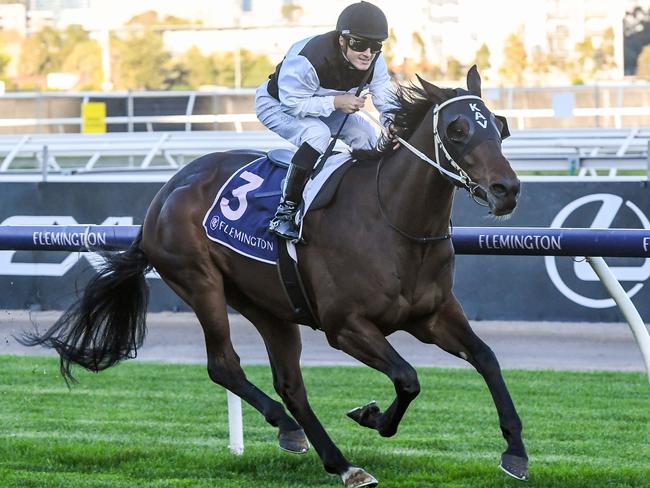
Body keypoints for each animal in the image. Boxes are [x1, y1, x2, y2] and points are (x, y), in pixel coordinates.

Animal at [20, 66, 528, 488]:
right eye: (457, 130)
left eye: (499, 126)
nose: (506, 190)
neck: (393, 221)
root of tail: (164, 195)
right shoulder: (346, 327)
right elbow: (407, 378)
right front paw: (372, 416)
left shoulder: (433, 315)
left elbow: (486, 359)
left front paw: (516, 453)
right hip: (200, 282)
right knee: (224, 365)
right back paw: (295, 431)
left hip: (270, 306)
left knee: (290, 384)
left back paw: (335, 459)